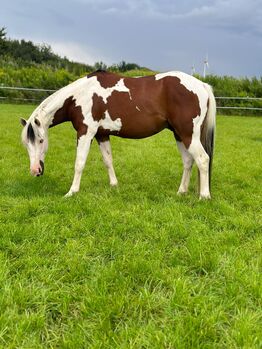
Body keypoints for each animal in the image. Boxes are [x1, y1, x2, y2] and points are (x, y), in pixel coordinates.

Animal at [20, 69, 216, 198]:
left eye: (41, 140)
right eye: (26, 144)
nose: (35, 170)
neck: (80, 95)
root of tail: (201, 85)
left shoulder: (86, 132)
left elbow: (79, 163)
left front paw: (72, 192)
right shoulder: (102, 135)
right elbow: (108, 160)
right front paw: (114, 186)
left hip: (188, 135)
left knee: (203, 159)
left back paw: (204, 196)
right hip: (179, 134)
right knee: (188, 161)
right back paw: (181, 191)